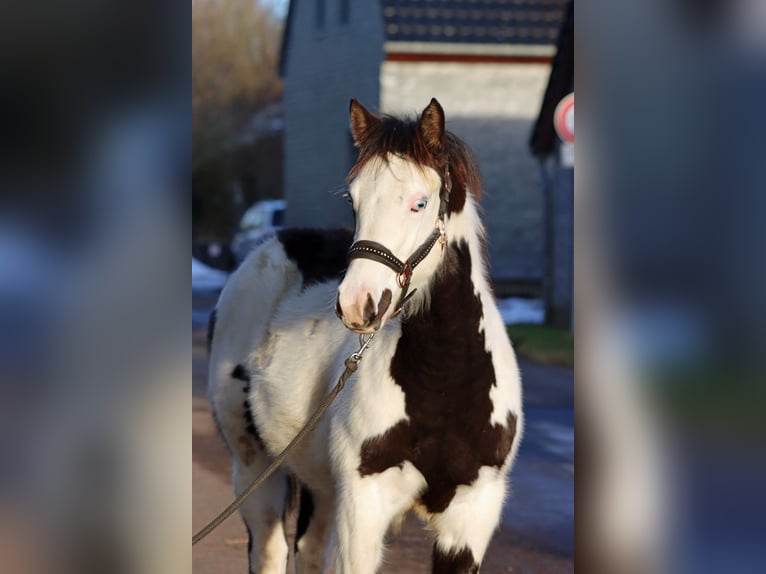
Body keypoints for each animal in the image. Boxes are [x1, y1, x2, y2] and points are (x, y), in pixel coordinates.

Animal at [207, 97, 524, 572]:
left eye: (420, 202)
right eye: (354, 202)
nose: (359, 304)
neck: (445, 384)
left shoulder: (470, 518)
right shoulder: (363, 507)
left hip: (320, 486)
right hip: (254, 467)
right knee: (271, 548)